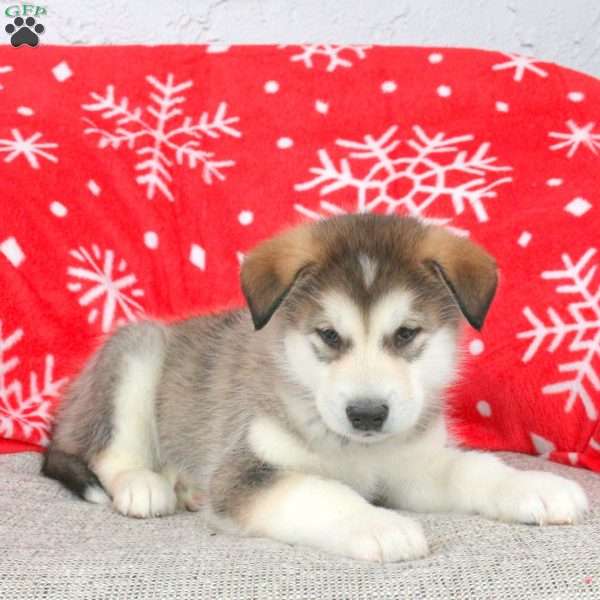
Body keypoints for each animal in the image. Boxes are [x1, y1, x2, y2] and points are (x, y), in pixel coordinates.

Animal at [44, 214, 588, 564]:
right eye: (328, 335)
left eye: (406, 334)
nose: (367, 414)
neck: (356, 450)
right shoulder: (249, 473)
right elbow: (322, 491)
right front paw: (379, 525)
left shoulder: (415, 467)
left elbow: (475, 469)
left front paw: (535, 487)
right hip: (137, 352)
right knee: (108, 453)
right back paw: (145, 485)